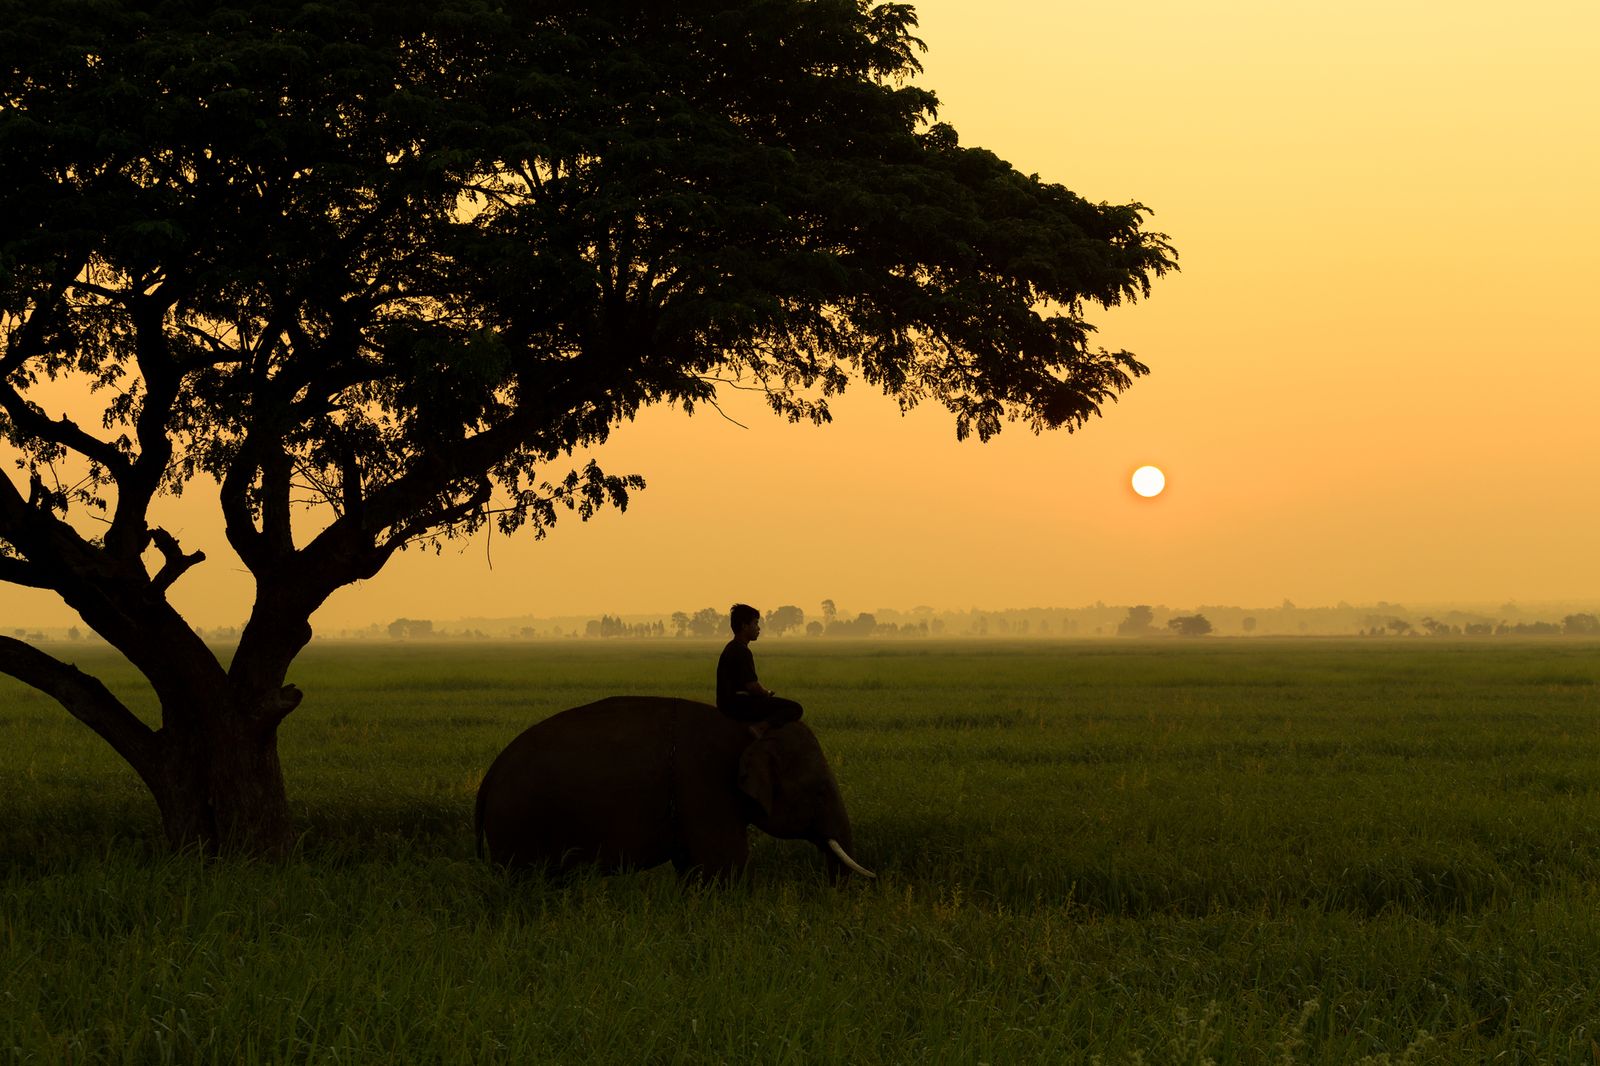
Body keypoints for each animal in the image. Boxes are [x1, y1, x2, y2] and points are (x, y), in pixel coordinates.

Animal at [473, 688, 876, 877]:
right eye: (819, 790)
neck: (750, 731)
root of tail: (489, 776)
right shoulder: (705, 787)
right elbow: (722, 865)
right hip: (518, 825)